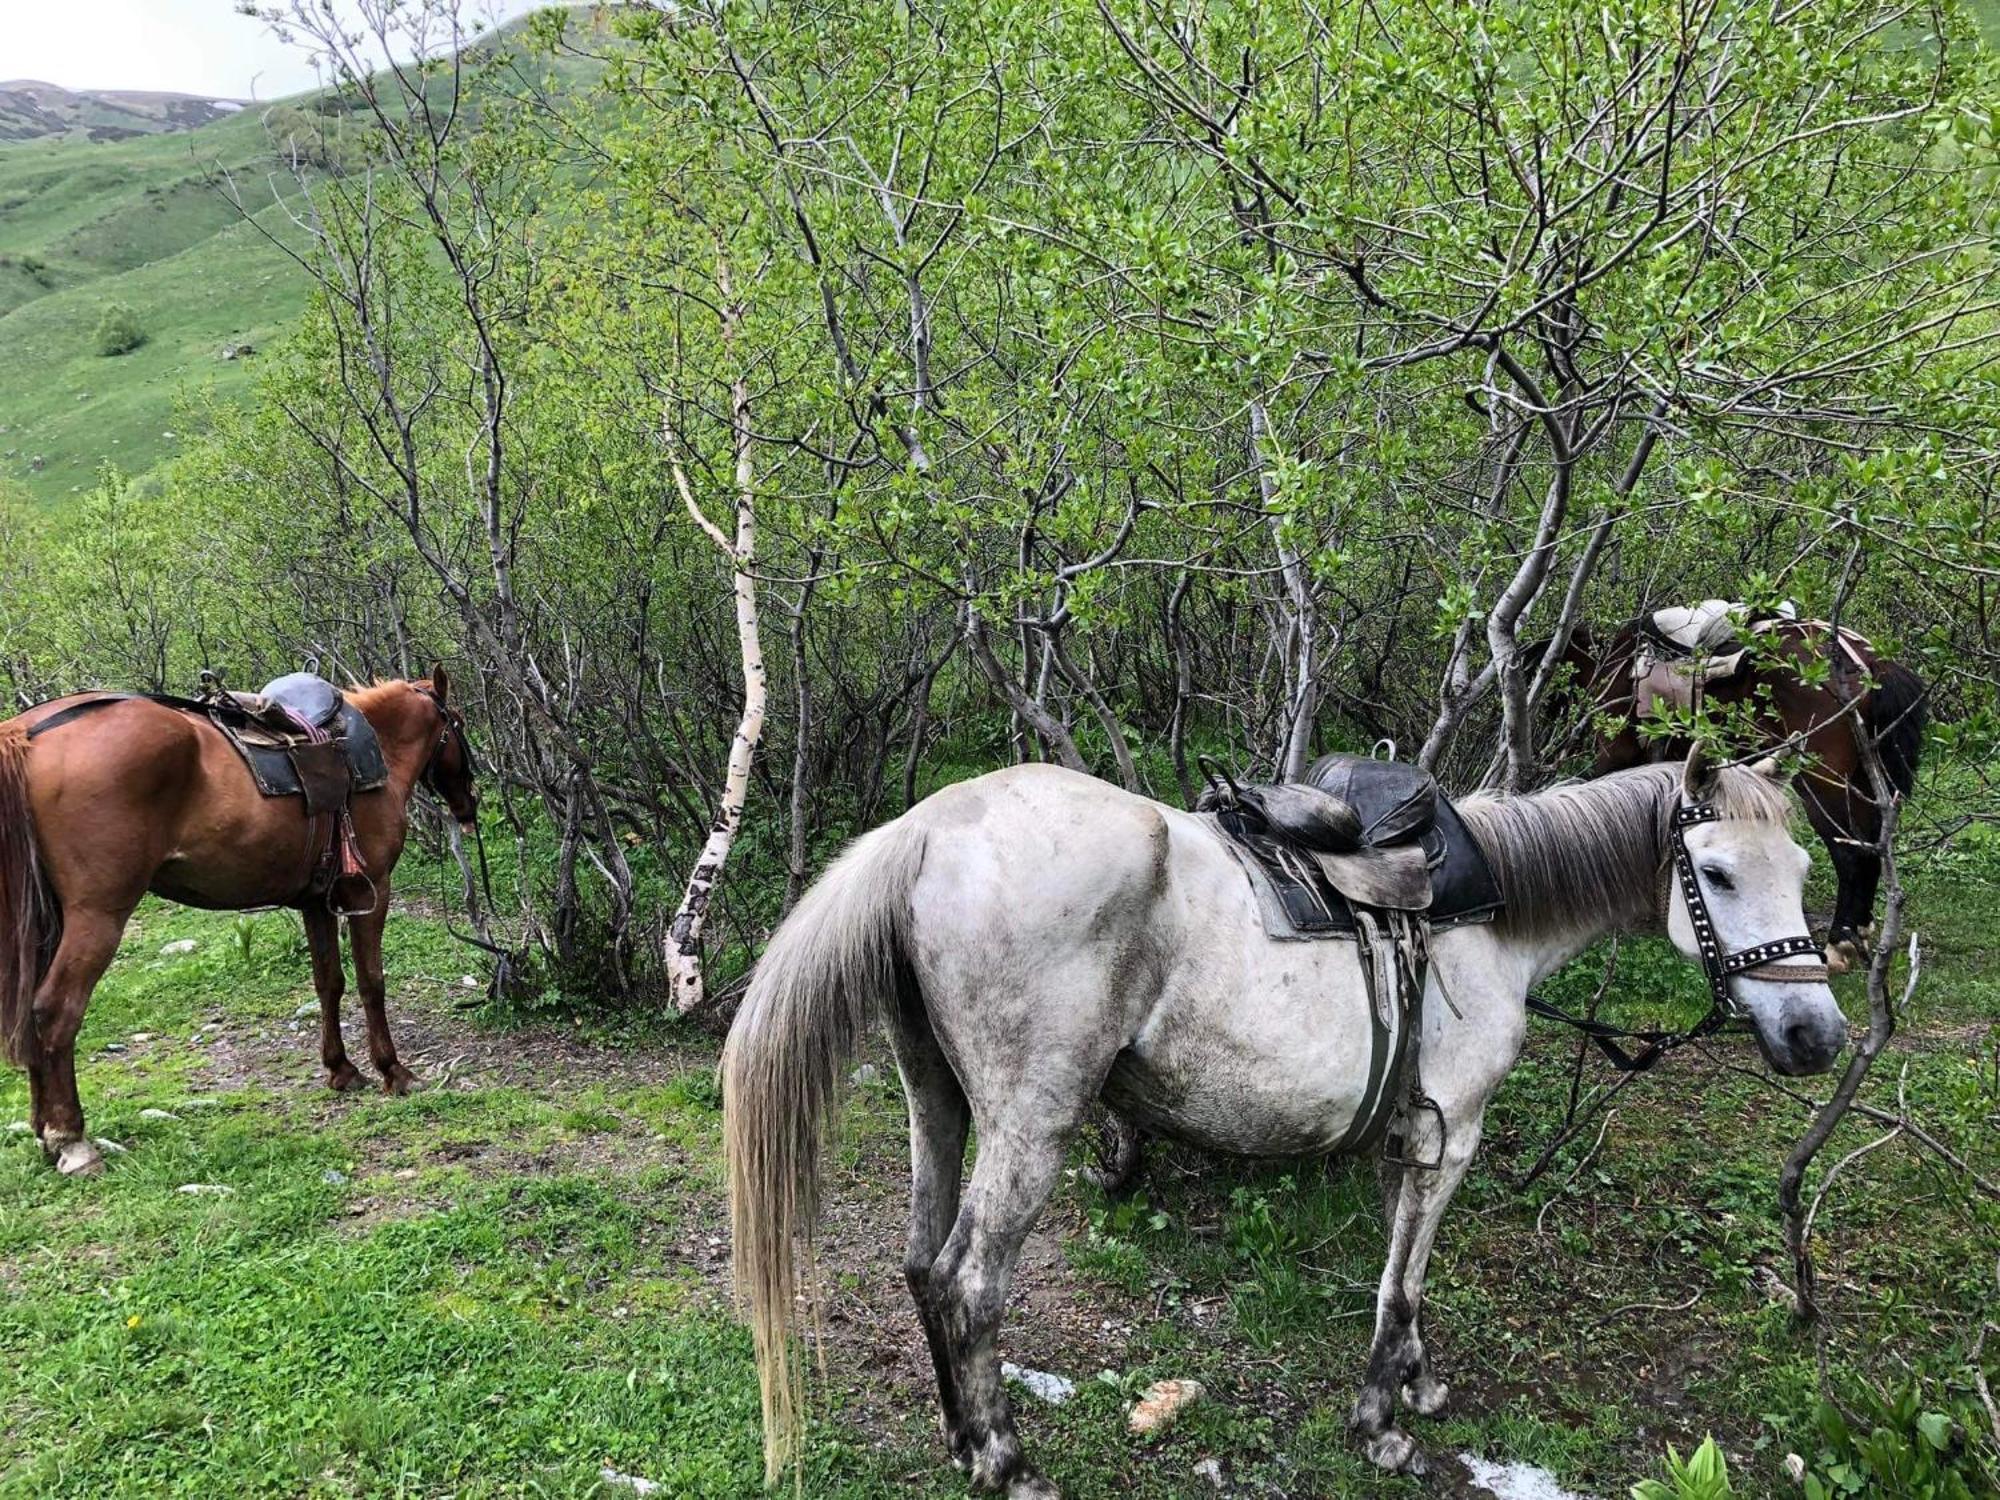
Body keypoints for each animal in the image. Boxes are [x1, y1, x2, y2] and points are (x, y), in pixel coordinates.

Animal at [0, 676, 480, 1184]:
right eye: (458, 725)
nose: (470, 804)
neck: (375, 748)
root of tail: (27, 733)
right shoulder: (370, 892)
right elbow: (372, 982)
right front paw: (395, 1071)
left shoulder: (316, 901)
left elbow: (328, 983)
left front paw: (342, 1069)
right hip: (98, 916)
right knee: (56, 1011)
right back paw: (71, 1140)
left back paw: (43, 1132)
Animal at [720, 756, 1840, 1496]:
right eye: (1718, 873)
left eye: (1799, 869)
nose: (1814, 1035)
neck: (1487, 916)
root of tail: (927, 828)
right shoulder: (1452, 1134)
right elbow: (1403, 1282)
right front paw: (1380, 1426)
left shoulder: (1410, 1135)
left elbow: (1401, 1279)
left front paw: (1415, 1385)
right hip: (1030, 1125)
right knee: (967, 1283)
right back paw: (1006, 1460)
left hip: (938, 1100)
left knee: (918, 1264)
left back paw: (961, 1439)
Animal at [1544, 620, 1920, 964]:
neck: (1615, 665)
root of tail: (1871, 663)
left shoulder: (1615, 757)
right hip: (1863, 780)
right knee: (1873, 841)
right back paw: (1860, 930)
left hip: (1822, 784)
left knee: (1850, 852)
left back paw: (1839, 942)